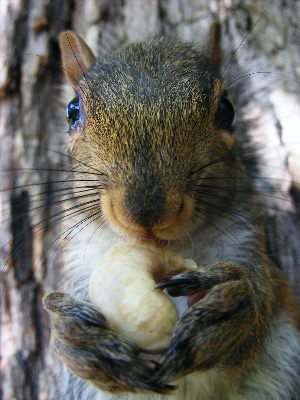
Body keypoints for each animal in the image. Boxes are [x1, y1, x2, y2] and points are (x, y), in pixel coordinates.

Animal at [44, 25, 300, 400]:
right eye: (72, 110)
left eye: (227, 110)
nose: (147, 212)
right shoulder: (78, 260)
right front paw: (75, 337)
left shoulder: (245, 240)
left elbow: (261, 301)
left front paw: (233, 306)